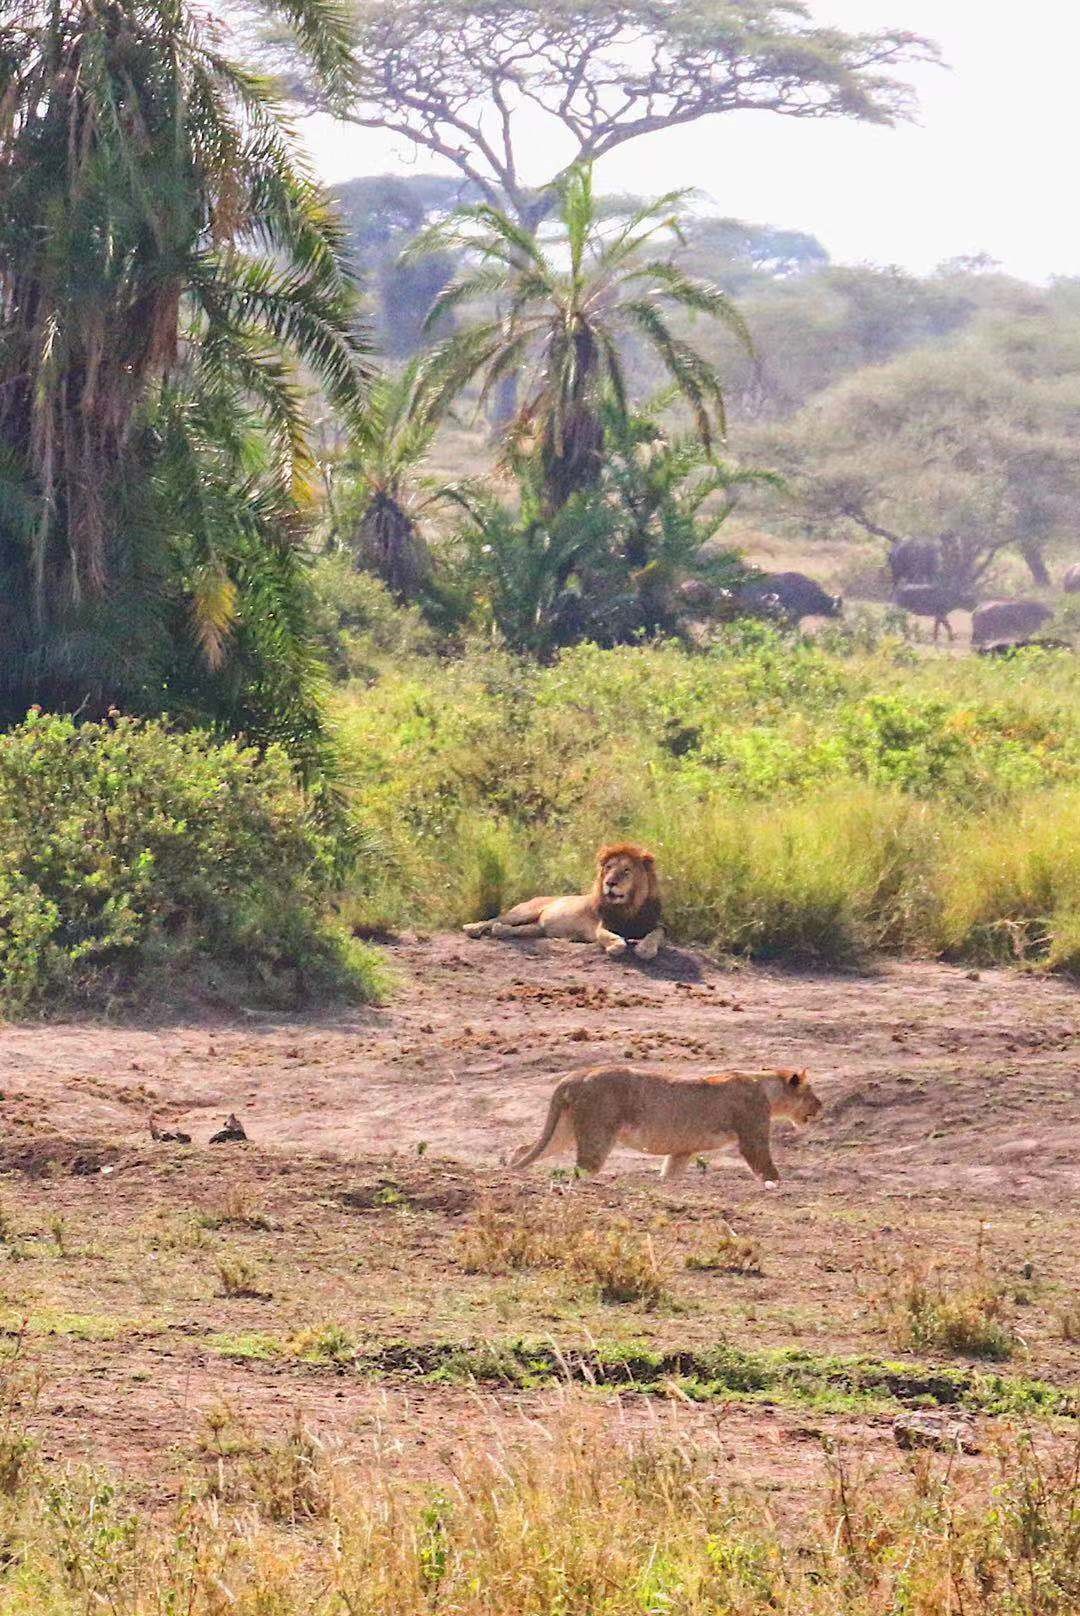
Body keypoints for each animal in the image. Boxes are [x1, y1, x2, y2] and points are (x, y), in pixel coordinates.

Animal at [465, 846, 666, 956]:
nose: (609, 883)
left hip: (536, 928)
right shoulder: (602, 926)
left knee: (514, 929)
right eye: (608, 867)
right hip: (523, 912)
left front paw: (645, 949)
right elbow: (615, 941)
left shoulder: (652, 924)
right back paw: (472, 928)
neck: (629, 907)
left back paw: (500, 930)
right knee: (495, 918)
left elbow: (657, 933)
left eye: (626, 870)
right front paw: (617, 945)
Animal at [510, 1066, 821, 1182]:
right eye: (809, 1092)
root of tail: (577, 1075)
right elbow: (767, 1168)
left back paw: (511, 1170)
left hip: (563, 1131)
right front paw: (777, 1183)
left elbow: (670, 1172)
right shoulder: (752, 1135)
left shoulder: (682, 1149)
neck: (765, 1085)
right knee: (583, 1167)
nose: (821, 1105)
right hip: (597, 1134)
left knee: (522, 1148)